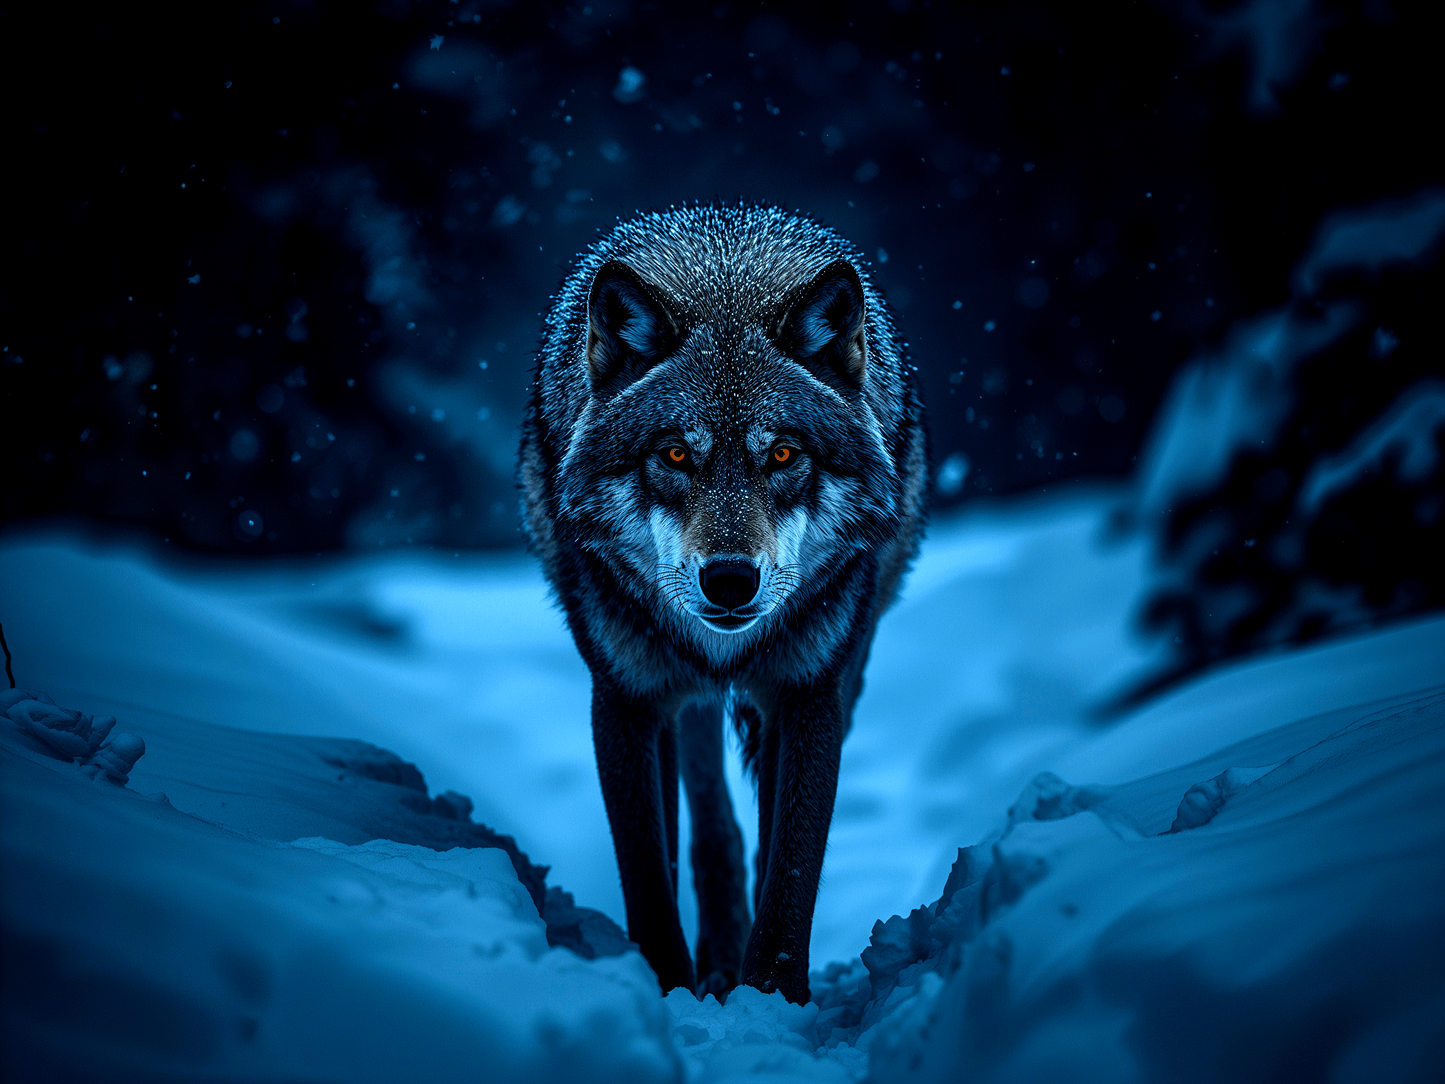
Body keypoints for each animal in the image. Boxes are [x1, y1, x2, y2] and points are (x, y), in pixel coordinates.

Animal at [519, 202, 927, 1004]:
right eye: (676, 454)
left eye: (783, 454)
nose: (731, 581)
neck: (726, 285)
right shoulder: (626, 697)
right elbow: (647, 872)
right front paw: (667, 987)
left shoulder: (809, 692)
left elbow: (793, 863)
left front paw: (771, 995)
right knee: (710, 810)